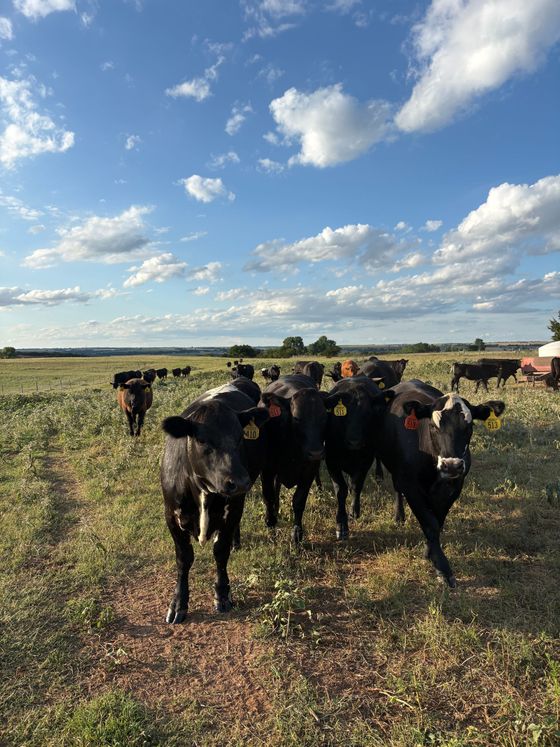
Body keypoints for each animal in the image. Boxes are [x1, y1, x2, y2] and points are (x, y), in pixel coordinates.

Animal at [160, 379, 270, 623]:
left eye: (240, 437)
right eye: (202, 440)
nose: (239, 481)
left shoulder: (233, 508)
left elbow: (220, 551)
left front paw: (222, 594)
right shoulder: (171, 514)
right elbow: (184, 558)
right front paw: (178, 602)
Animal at [258, 374, 341, 543]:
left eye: (324, 416)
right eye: (296, 418)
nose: (316, 452)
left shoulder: (308, 470)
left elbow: (298, 500)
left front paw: (297, 533)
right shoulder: (267, 470)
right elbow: (269, 498)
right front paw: (271, 528)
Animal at [324, 377, 395, 540]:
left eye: (368, 413)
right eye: (345, 414)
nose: (354, 441)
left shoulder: (365, 461)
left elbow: (357, 486)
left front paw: (354, 510)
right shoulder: (331, 461)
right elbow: (341, 490)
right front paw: (341, 524)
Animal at [375, 379, 505, 587]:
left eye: (469, 427)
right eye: (434, 426)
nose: (451, 465)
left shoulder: (454, 487)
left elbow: (438, 521)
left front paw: (430, 553)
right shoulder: (411, 487)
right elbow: (430, 523)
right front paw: (442, 567)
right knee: (397, 489)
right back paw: (399, 516)